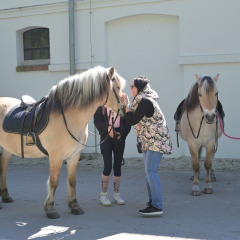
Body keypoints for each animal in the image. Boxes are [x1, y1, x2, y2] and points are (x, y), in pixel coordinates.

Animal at [0, 65, 125, 218]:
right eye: (117, 87)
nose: (124, 109)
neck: (68, 117)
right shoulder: (56, 156)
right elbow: (54, 182)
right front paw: (50, 209)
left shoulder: (74, 155)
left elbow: (72, 181)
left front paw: (75, 206)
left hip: (7, 148)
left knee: (3, 168)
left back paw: (6, 196)